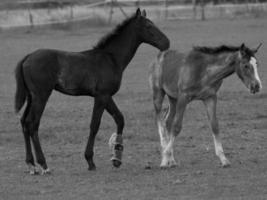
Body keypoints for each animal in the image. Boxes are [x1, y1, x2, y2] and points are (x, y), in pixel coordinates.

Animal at [14, 9, 170, 175]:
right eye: (148, 26)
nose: (166, 43)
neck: (111, 58)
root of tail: (27, 57)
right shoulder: (101, 96)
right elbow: (95, 124)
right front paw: (90, 161)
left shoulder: (107, 96)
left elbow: (119, 118)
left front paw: (117, 158)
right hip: (41, 96)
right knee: (32, 124)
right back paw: (43, 165)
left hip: (31, 97)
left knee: (24, 122)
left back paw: (31, 165)